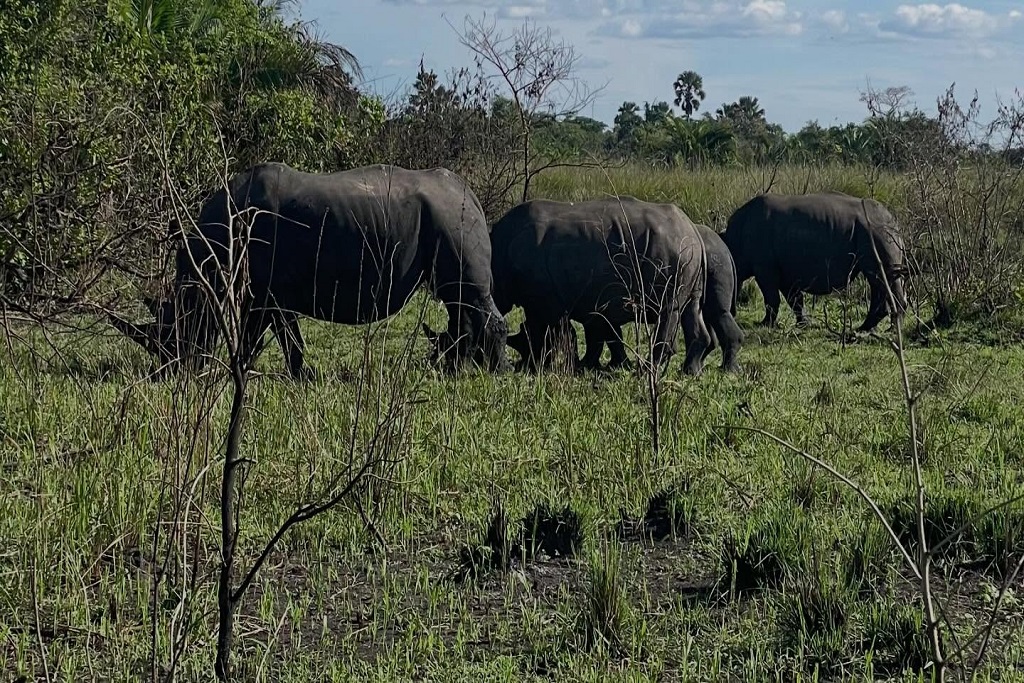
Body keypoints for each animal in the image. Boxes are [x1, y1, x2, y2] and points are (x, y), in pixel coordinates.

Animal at [109, 162, 508, 377]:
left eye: (178, 326)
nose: (170, 370)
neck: (209, 258)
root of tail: (470, 194)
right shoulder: (265, 292)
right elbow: (274, 335)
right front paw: (277, 371)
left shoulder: (266, 291)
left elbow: (272, 336)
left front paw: (281, 373)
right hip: (447, 217)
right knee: (457, 300)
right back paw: (454, 369)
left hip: (453, 219)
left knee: (467, 295)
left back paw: (492, 370)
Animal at [482, 196, 712, 376]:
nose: (522, 366)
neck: (497, 259)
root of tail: (693, 229)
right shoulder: (590, 303)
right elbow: (603, 335)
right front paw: (596, 365)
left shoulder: (547, 302)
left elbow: (558, 332)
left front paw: (568, 366)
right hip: (683, 252)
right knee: (691, 308)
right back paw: (690, 372)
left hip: (673, 252)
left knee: (669, 309)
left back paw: (645, 371)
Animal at [576, 223, 743, 372]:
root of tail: (726, 249)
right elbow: (607, 334)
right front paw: (611, 366)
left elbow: (600, 335)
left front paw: (592, 366)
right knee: (707, 314)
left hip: (716, 263)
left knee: (716, 312)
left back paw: (727, 370)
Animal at [721, 191, 909, 331]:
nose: (730, 312)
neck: (732, 243)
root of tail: (894, 222)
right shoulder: (784, 270)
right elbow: (794, 298)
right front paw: (803, 324)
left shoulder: (764, 268)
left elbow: (771, 298)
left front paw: (764, 325)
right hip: (877, 233)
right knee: (878, 280)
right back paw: (865, 328)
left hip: (877, 233)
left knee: (882, 278)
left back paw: (891, 330)